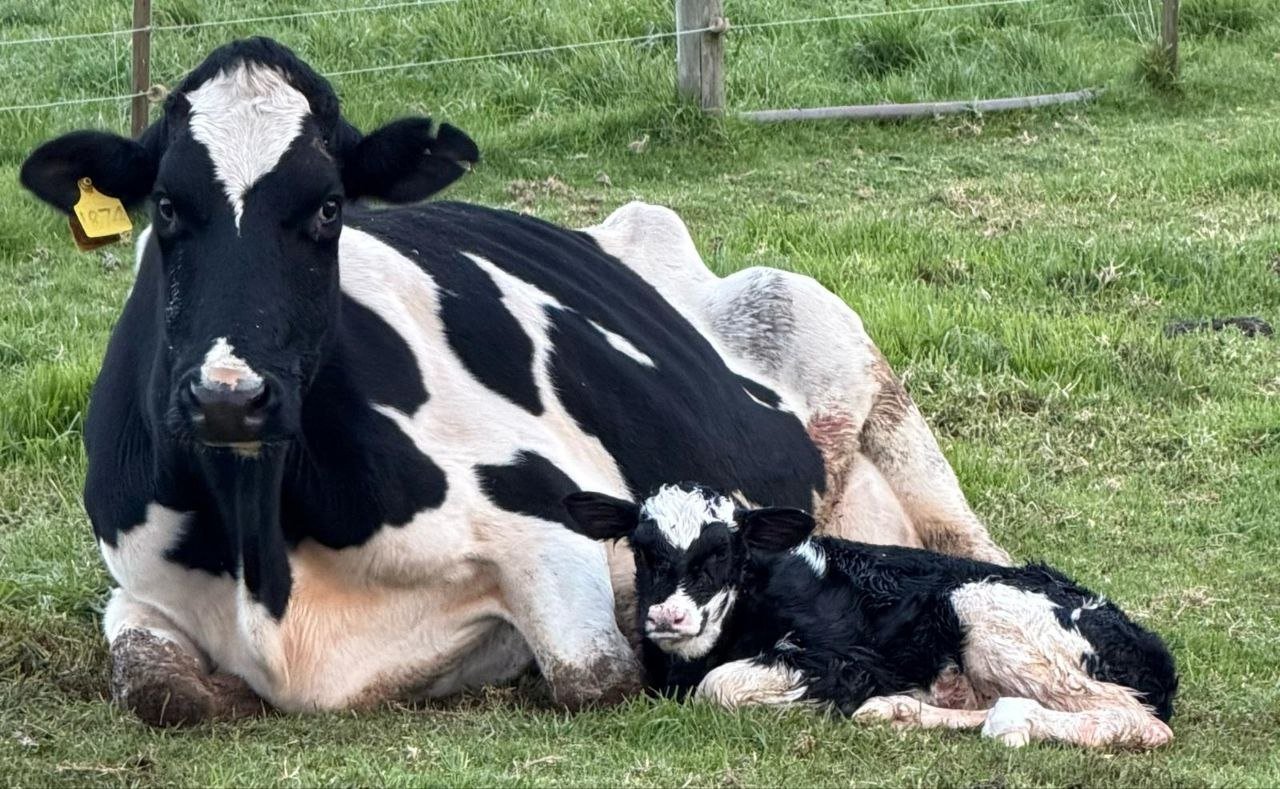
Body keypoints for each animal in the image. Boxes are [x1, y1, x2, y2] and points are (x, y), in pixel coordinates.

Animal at [18, 37, 1008, 725]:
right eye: (167, 207)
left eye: (330, 208)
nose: (230, 395)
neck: (266, 544)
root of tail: (637, 229)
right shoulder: (139, 584)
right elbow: (162, 691)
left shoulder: (548, 521)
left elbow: (593, 670)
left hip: (850, 359)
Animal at [561, 482, 1178, 749]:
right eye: (644, 551)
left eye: (723, 553)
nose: (668, 617)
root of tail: (1152, 649)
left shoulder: (848, 660)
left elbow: (721, 687)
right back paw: (900, 712)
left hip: (991, 614)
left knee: (1140, 722)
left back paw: (1012, 723)